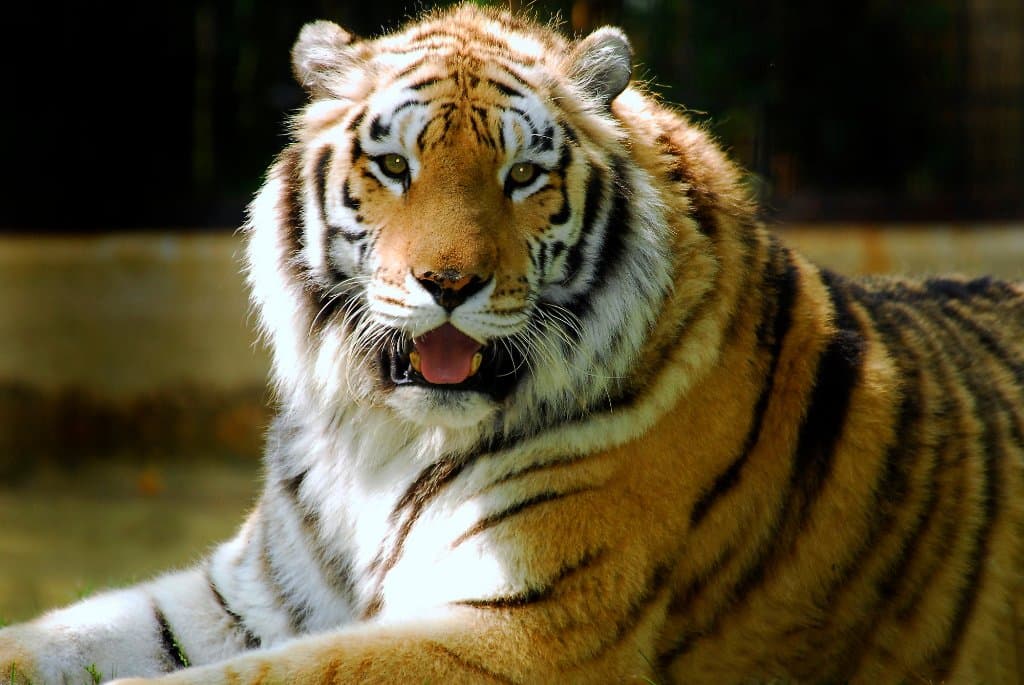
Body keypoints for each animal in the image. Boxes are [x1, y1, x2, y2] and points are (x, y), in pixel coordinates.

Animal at [3, 4, 1024, 684]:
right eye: (394, 165)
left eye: (523, 175)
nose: (448, 285)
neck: (385, 435)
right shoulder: (251, 595)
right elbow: (59, 635)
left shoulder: (525, 628)